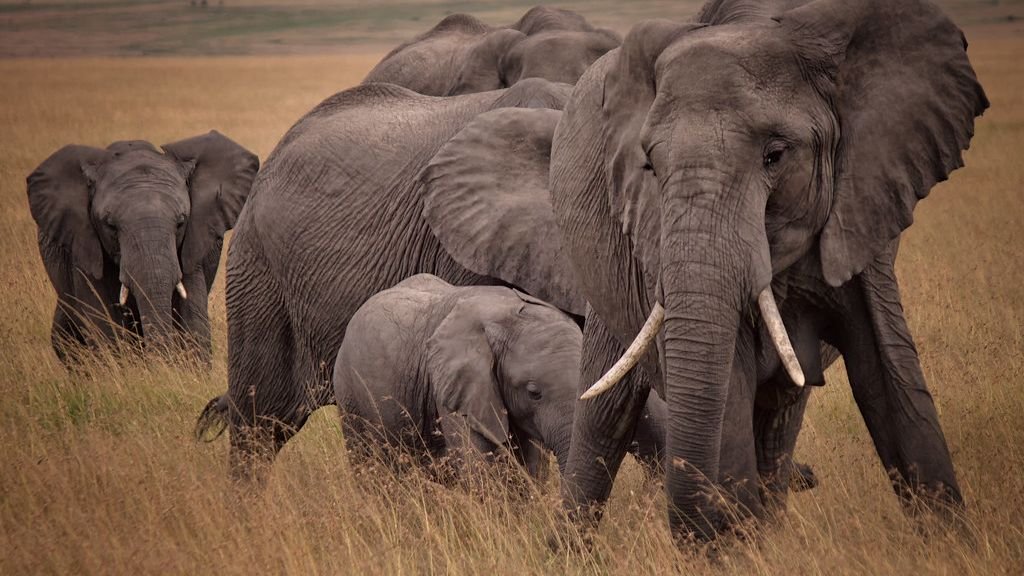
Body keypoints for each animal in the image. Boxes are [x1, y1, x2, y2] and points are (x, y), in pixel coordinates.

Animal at [28, 131, 258, 364]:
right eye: (110, 225)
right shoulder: (83, 244)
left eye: (181, 222)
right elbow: (100, 318)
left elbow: (192, 315)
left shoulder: (194, 241)